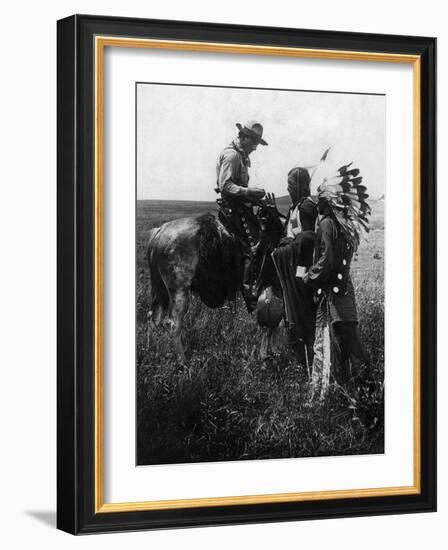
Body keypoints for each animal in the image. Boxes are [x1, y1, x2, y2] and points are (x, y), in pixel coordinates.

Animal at [145, 201, 286, 364]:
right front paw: (266, 354)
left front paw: (273, 351)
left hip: (161, 289)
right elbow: (273, 324)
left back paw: (152, 351)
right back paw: (182, 361)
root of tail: (159, 232)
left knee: (153, 317)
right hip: (179, 291)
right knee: (173, 324)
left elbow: (275, 323)